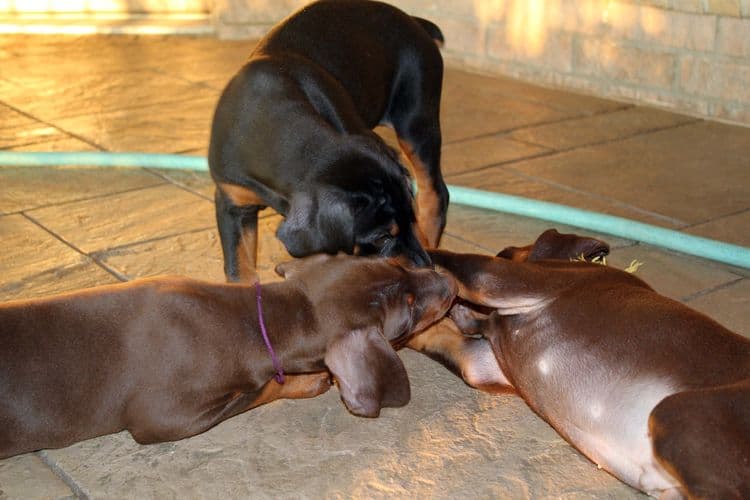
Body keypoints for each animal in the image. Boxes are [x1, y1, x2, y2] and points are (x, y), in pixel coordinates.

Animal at [0, 256, 458, 458]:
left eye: (398, 261)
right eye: (410, 309)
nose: (451, 281)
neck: (258, 316)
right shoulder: (164, 419)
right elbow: (260, 390)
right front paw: (305, 381)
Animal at [209, 0, 450, 282]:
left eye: (410, 218)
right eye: (381, 239)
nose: (427, 267)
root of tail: (414, 21)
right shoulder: (231, 201)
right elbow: (239, 268)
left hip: (417, 118)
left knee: (435, 193)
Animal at [414, 231, 748, 500]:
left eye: (505, 252)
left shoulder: (508, 278)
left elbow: (449, 257)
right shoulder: (481, 362)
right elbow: (436, 336)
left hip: (678, 413)